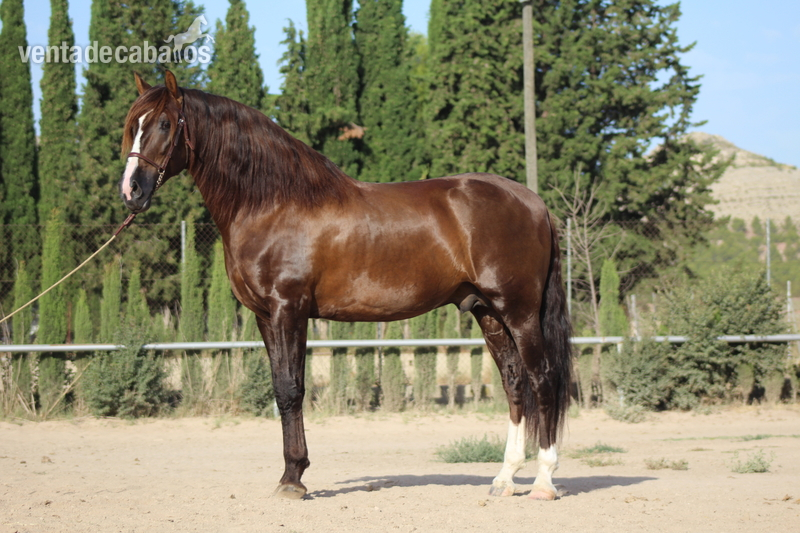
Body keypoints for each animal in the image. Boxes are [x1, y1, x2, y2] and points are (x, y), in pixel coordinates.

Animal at [119, 70, 573, 501]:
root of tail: (534, 203)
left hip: (519, 310)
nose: (131, 190)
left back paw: (544, 482)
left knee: (543, 378)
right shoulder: (266, 316)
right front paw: (292, 474)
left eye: (164, 123)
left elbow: (292, 389)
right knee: (514, 381)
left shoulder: (289, 309)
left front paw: (293, 479)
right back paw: (504, 478)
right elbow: (280, 390)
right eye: (133, 124)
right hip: (488, 311)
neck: (273, 202)